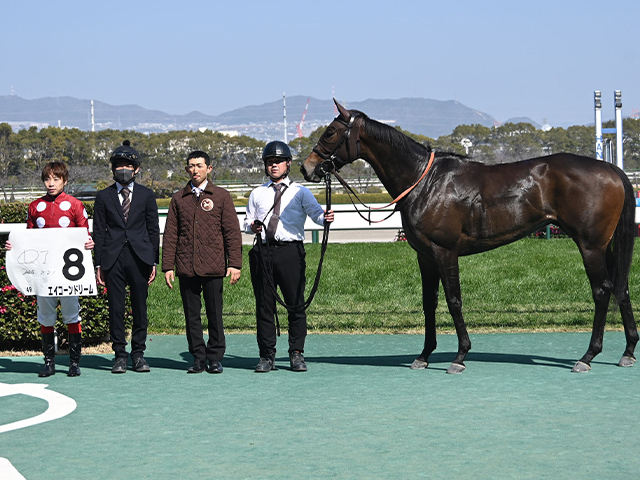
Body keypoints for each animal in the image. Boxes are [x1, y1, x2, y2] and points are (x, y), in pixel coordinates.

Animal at [301, 99, 638, 374]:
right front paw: (424, 355)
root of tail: (612, 169)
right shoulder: (425, 256)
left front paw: (460, 356)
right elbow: (429, 302)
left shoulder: (444, 251)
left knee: (602, 291)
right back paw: (628, 350)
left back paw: (588, 356)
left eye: (330, 132)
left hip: (590, 245)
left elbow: (454, 300)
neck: (424, 181)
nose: (307, 168)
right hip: (606, 245)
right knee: (621, 287)